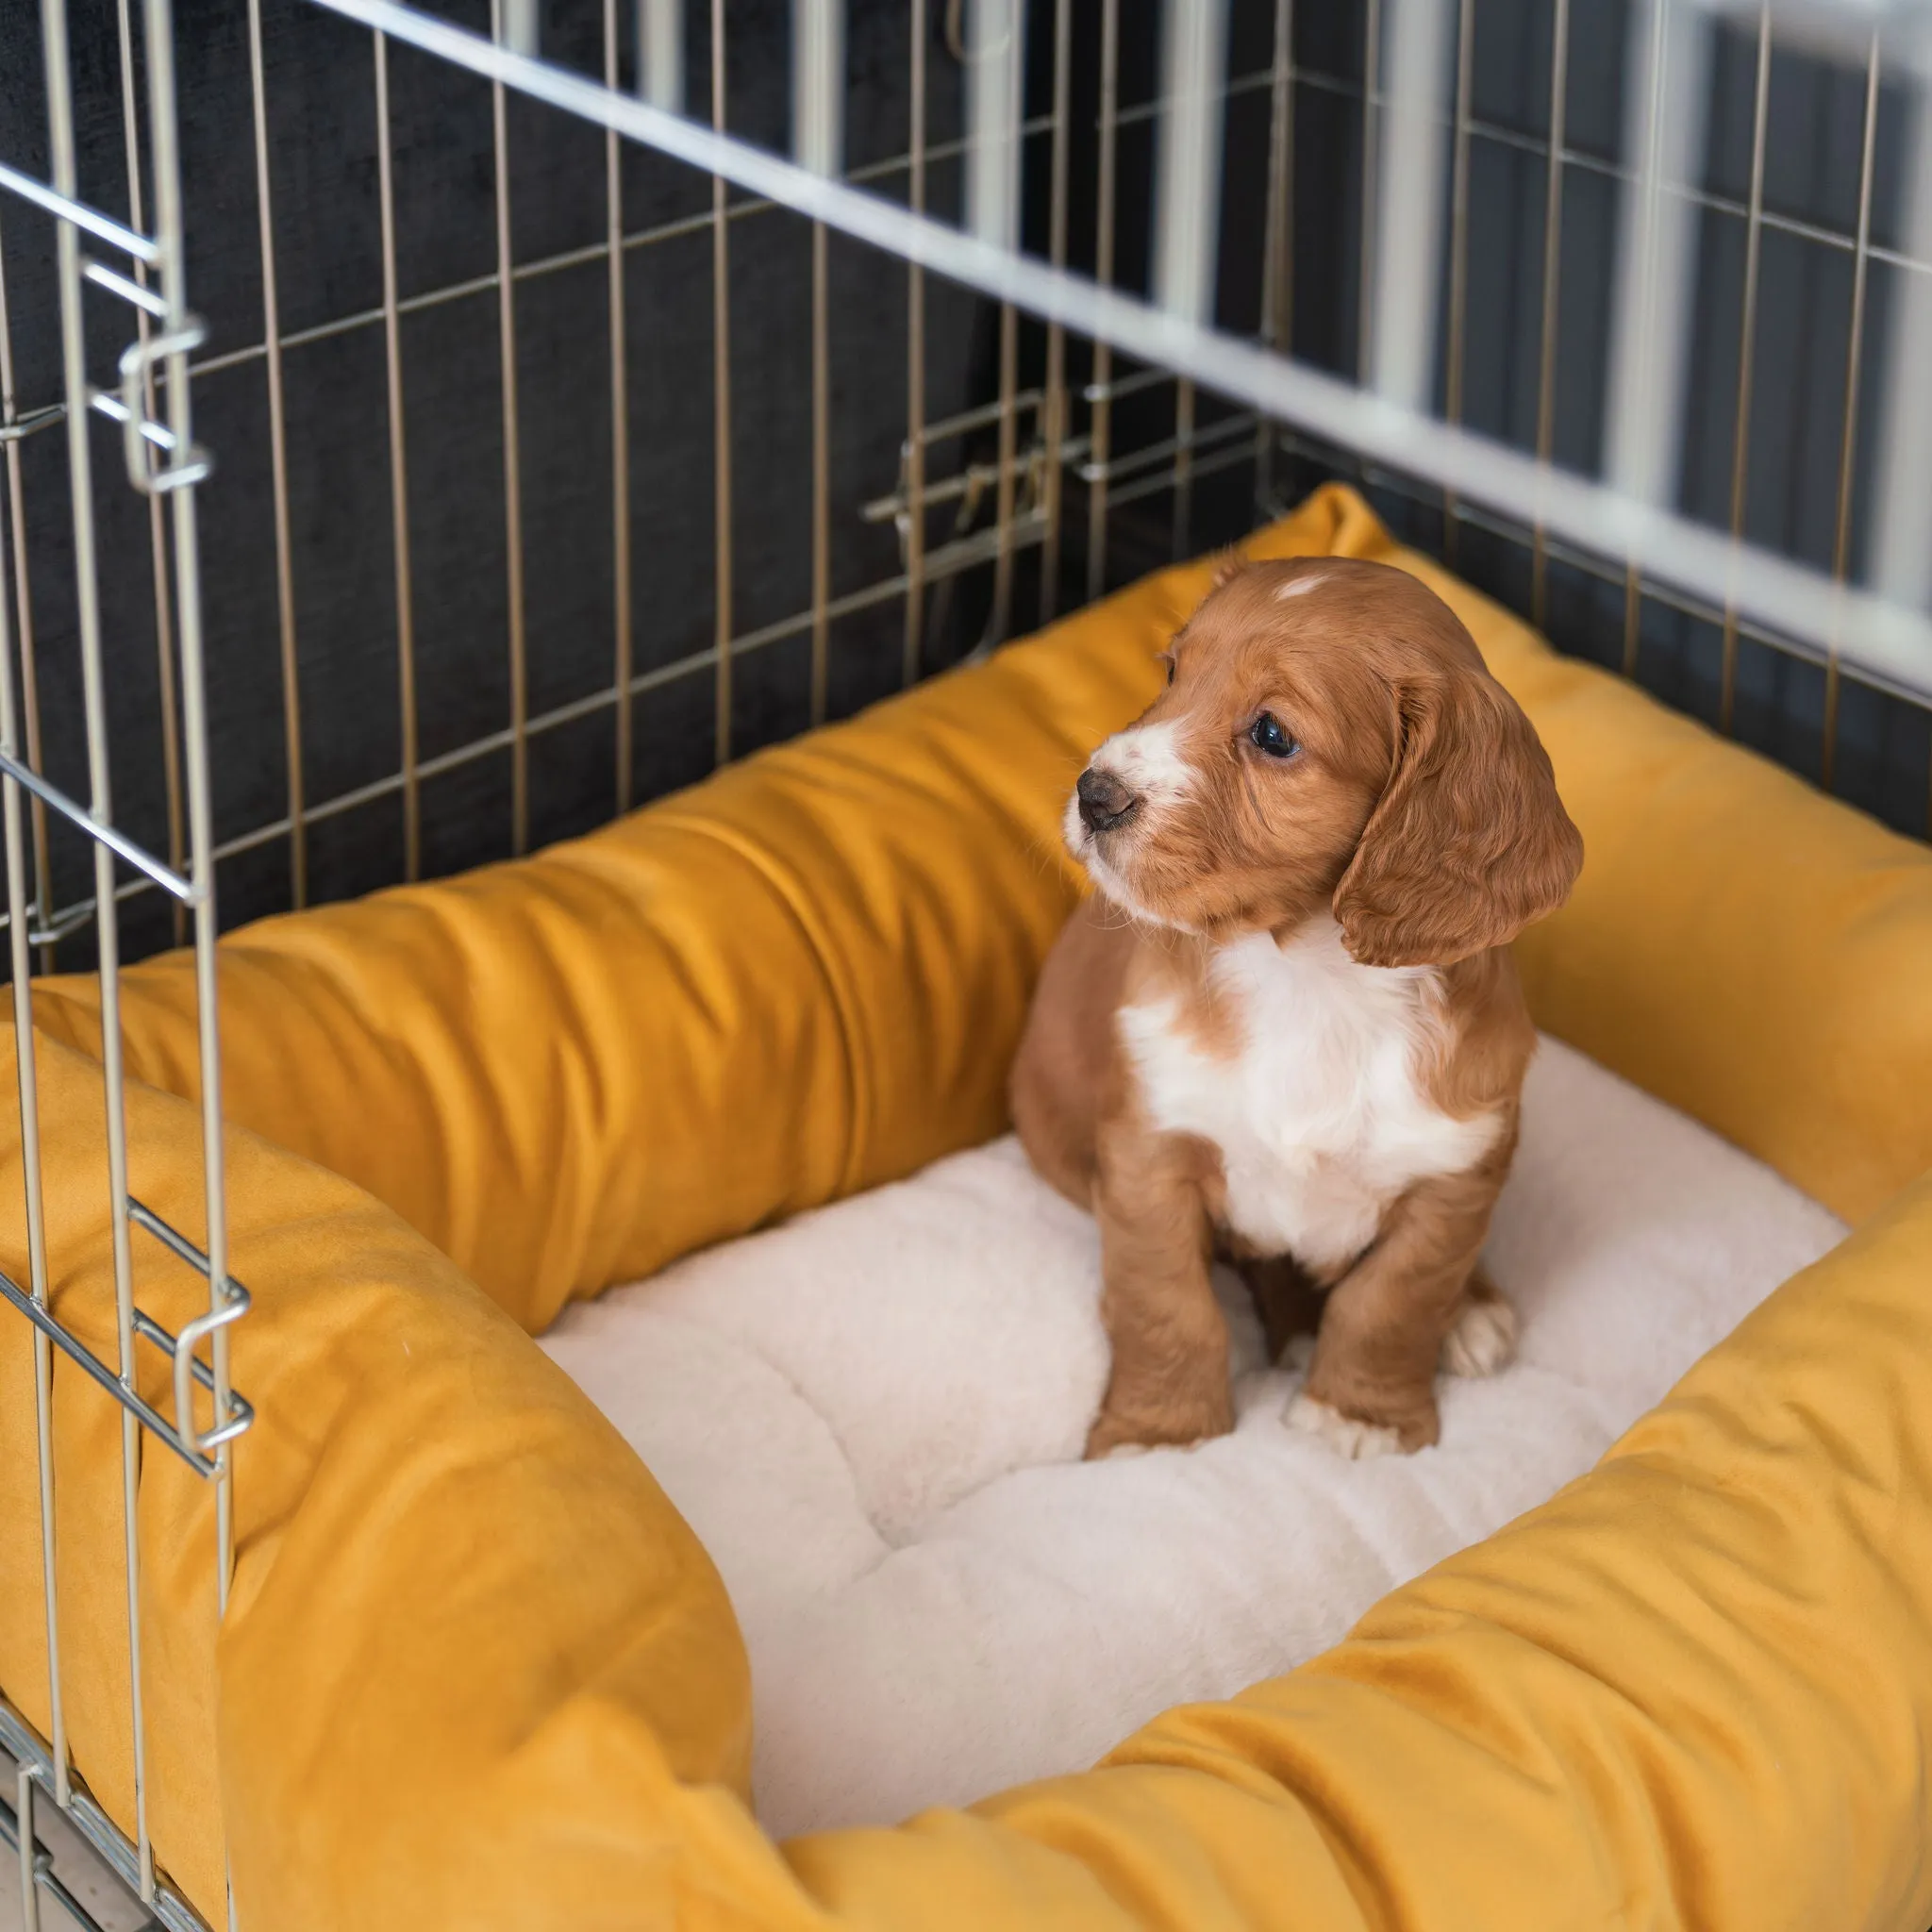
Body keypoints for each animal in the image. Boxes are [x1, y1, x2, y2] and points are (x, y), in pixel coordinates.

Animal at [1012, 559, 1584, 1460]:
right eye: (1171, 673)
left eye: (1273, 735)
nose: (1094, 795)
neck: (1310, 979)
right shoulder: (1148, 1152)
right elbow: (1166, 1305)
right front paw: (1159, 1432)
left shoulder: (1452, 1178)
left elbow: (1391, 1302)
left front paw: (1362, 1415)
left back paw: (1473, 1311)